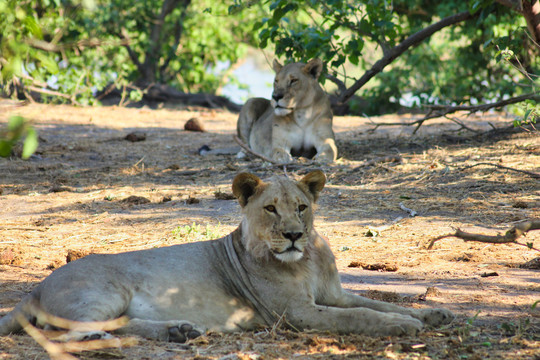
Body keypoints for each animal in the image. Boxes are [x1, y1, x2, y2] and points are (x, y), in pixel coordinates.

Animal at [0, 170, 454, 342]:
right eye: (270, 209)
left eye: (301, 207)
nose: (293, 235)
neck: (305, 260)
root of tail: (38, 285)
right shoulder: (295, 313)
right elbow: (360, 316)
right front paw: (403, 325)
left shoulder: (332, 295)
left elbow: (376, 302)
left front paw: (436, 314)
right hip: (103, 291)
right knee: (63, 330)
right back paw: (104, 339)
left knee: (120, 323)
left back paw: (179, 331)